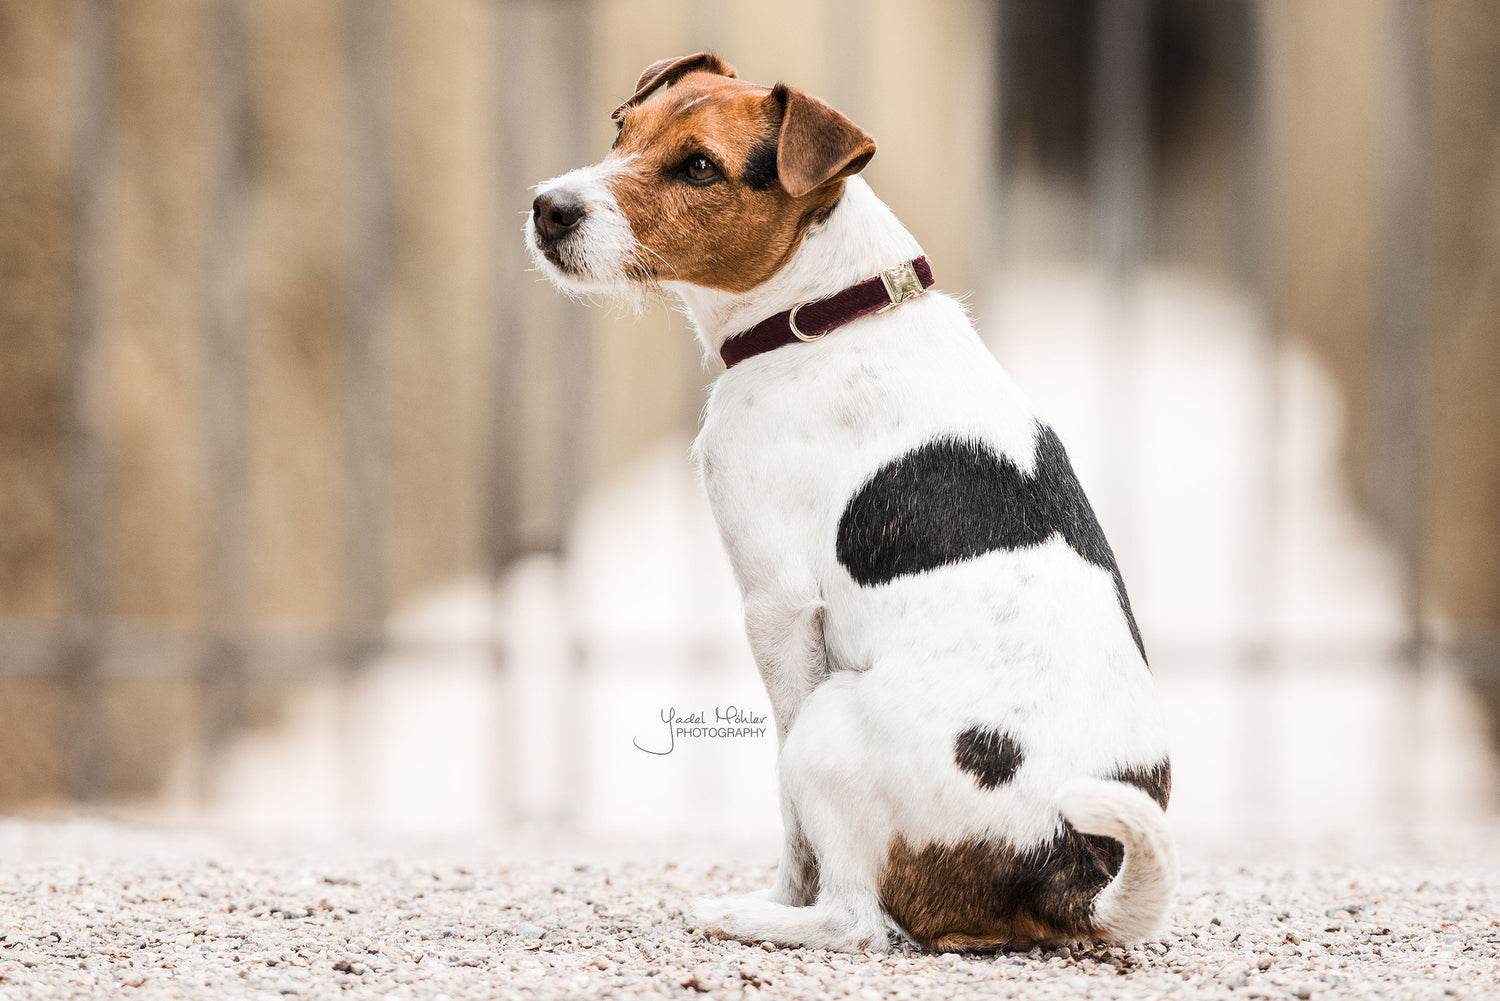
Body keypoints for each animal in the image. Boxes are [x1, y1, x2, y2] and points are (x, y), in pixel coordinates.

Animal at [525, 52, 1170, 954]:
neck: (829, 312)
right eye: (623, 130)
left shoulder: (778, 608)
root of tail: (1066, 872)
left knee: (858, 919)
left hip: (832, 723)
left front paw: (780, 891)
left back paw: (747, 916)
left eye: (701, 167)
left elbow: (789, 813)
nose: (548, 207)